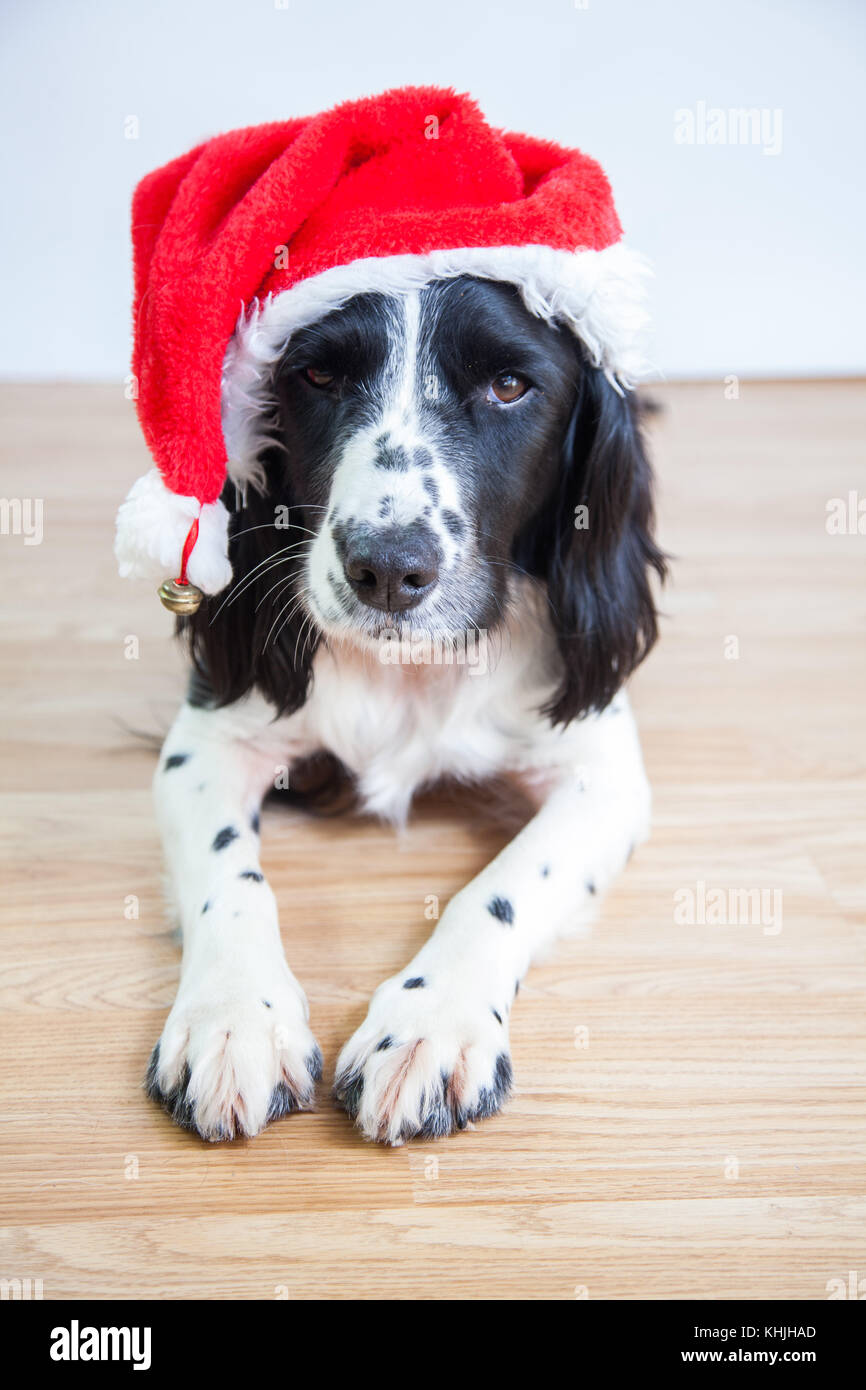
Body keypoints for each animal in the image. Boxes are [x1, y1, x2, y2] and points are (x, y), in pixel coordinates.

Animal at [145, 268, 667, 1139]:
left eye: (508, 385)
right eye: (318, 374)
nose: (388, 569)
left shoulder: (603, 772)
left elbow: (500, 887)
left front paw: (431, 1027)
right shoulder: (210, 735)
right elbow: (230, 877)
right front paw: (234, 1019)